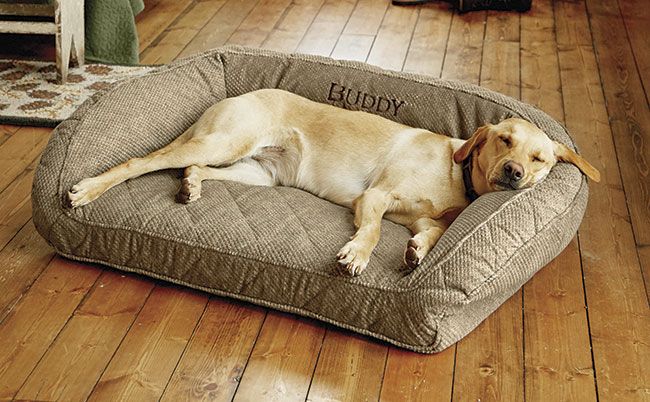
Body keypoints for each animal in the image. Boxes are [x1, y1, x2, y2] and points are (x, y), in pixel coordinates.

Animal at [67, 88, 596, 276]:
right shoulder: (375, 196)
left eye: (539, 158)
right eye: (504, 140)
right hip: (220, 144)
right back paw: (88, 189)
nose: (515, 173)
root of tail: (232, 96)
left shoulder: (426, 218)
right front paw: (357, 254)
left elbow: (433, 232)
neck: (459, 177)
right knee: (142, 161)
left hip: (256, 172)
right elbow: (376, 230)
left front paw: (417, 252)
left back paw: (191, 188)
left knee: (192, 171)